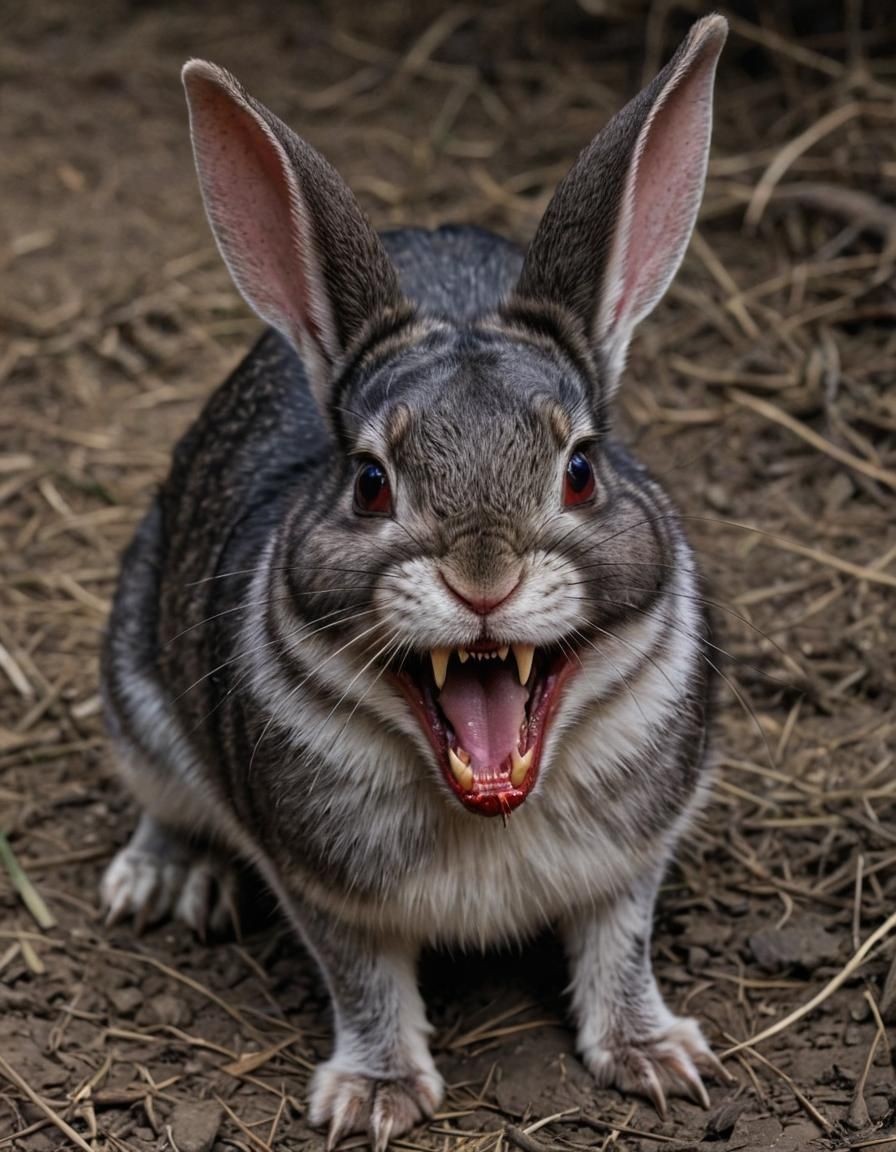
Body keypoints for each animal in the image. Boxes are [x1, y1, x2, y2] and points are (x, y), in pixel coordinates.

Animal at [100, 14, 730, 1149]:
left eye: (580, 468)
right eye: (368, 482)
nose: (483, 578)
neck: (486, 802)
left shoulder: (632, 856)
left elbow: (616, 948)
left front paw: (657, 1059)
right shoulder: (320, 882)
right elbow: (365, 982)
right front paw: (375, 1096)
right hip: (137, 690)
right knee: (164, 793)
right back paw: (162, 879)